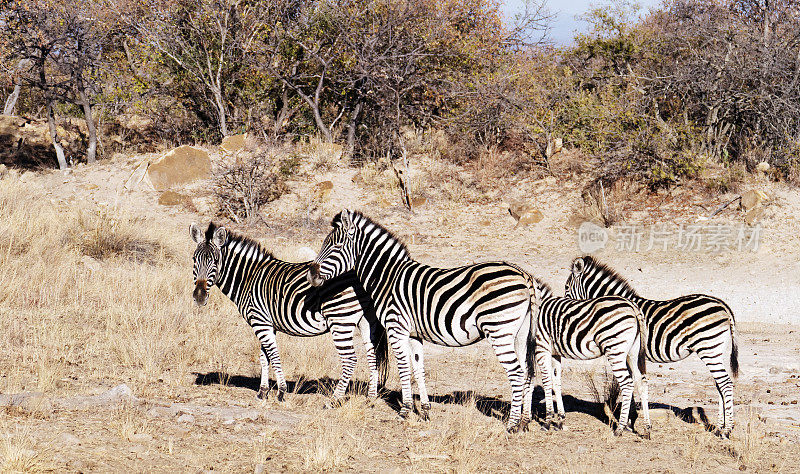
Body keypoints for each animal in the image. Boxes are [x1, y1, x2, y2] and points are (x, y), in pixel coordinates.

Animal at [188, 222, 388, 404]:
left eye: (215, 261)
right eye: (194, 260)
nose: (199, 296)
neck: (248, 278)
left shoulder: (259, 321)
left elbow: (274, 355)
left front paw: (281, 392)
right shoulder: (267, 323)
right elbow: (264, 357)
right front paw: (262, 392)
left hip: (340, 320)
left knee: (350, 359)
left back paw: (335, 399)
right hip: (366, 321)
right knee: (372, 356)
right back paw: (371, 398)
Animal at [304, 209, 536, 432]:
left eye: (336, 245)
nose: (310, 276)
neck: (387, 278)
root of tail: (523, 274)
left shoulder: (396, 327)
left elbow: (404, 368)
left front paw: (405, 410)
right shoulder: (415, 334)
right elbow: (418, 368)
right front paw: (424, 410)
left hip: (498, 330)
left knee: (516, 373)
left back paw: (512, 424)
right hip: (520, 334)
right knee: (527, 372)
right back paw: (524, 422)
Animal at [528, 278, 652, 436]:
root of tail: (633, 306)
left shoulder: (542, 347)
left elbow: (547, 382)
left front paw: (548, 421)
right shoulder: (555, 353)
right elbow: (556, 382)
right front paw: (560, 420)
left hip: (615, 348)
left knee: (627, 383)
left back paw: (620, 428)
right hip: (632, 353)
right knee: (641, 382)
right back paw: (647, 429)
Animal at [564, 256, 740, 436]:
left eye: (566, 287)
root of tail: (722, 305)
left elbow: (629, 383)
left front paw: (628, 421)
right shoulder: (630, 354)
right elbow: (633, 382)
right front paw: (631, 420)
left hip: (708, 348)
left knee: (725, 383)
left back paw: (727, 430)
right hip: (717, 350)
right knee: (720, 385)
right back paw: (720, 427)